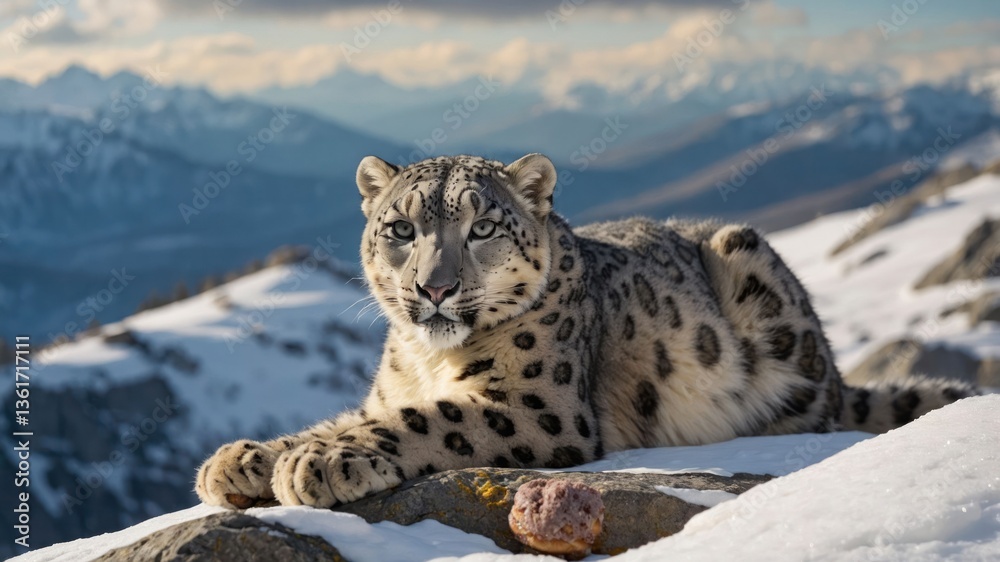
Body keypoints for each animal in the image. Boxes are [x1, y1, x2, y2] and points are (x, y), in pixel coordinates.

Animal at [195, 153, 977, 509]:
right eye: (400, 229)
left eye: (483, 227)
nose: (434, 287)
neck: (425, 357)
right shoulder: (385, 394)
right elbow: (348, 416)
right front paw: (242, 459)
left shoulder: (535, 407)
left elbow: (423, 421)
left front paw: (320, 464)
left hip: (752, 273)